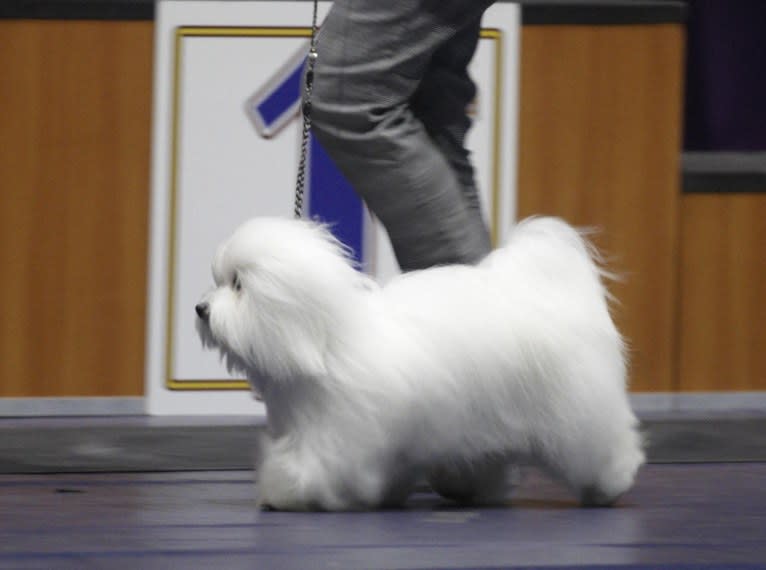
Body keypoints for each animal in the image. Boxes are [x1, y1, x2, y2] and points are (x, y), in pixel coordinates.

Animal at [195, 217, 644, 510]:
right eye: (218, 281)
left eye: (238, 284)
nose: (201, 309)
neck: (327, 340)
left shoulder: (338, 435)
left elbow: (313, 469)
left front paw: (283, 489)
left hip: (576, 408)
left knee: (602, 444)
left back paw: (609, 484)